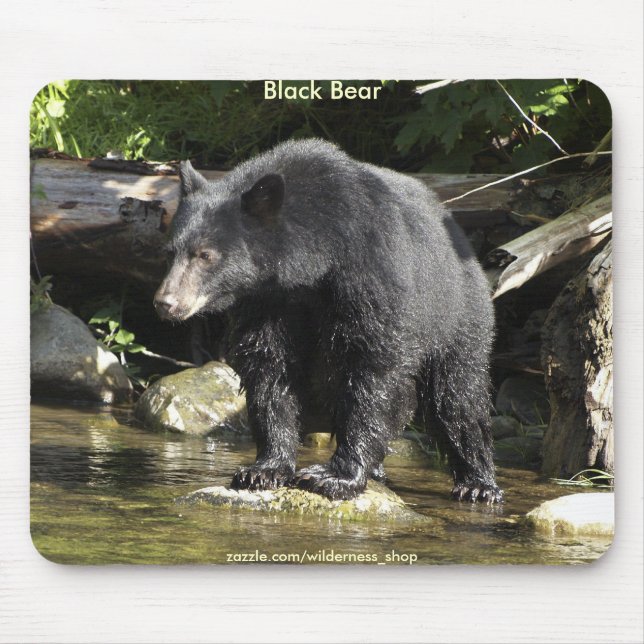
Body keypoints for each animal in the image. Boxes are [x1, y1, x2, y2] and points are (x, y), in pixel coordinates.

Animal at [154, 138, 503, 504]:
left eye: (206, 255)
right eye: (169, 252)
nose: (166, 303)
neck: (315, 260)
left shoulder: (371, 273)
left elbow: (372, 366)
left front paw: (335, 476)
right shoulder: (269, 300)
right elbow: (268, 367)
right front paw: (264, 469)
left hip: (455, 312)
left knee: (458, 395)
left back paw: (478, 483)